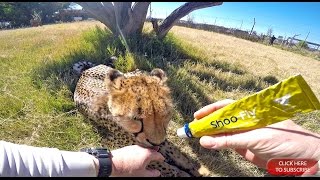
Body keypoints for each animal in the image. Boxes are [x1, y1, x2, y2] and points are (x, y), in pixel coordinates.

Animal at [73, 63, 201, 177]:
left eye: (165, 114)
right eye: (136, 118)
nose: (156, 143)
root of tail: (84, 72)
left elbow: (175, 152)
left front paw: (194, 168)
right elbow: (160, 164)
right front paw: (182, 173)